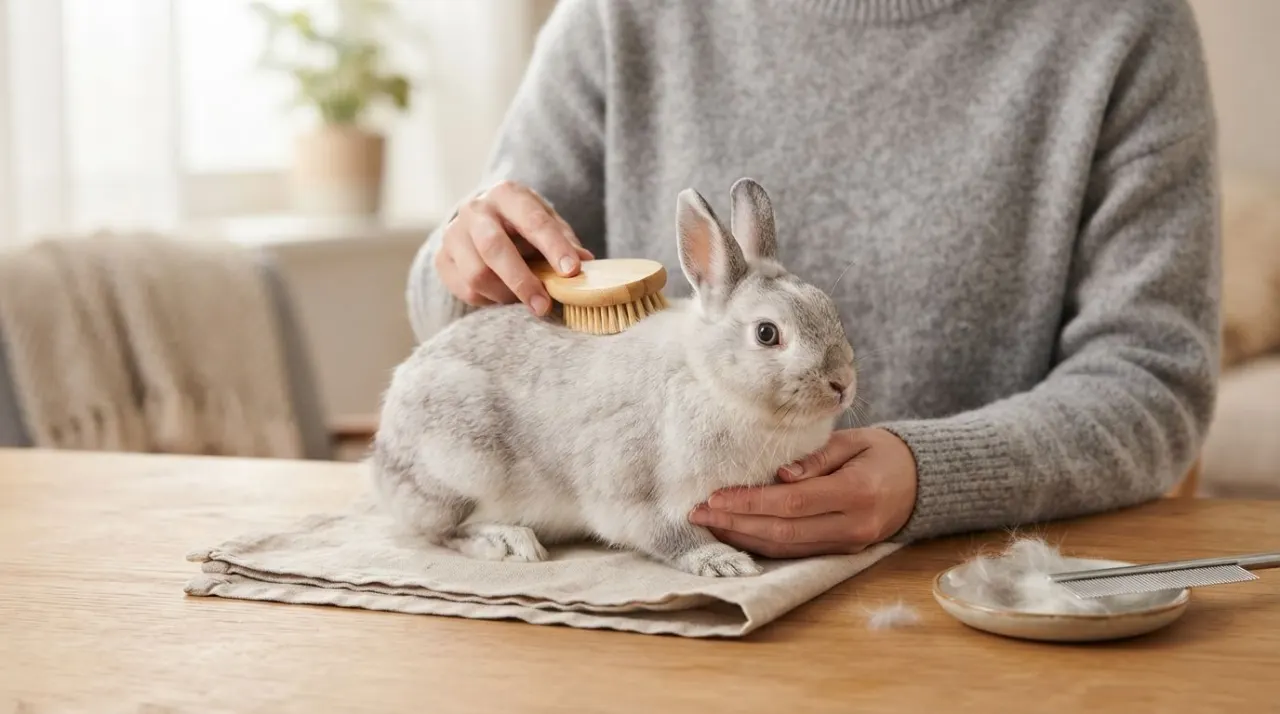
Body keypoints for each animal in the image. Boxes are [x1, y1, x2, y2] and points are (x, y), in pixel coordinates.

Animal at [370, 178, 858, 577]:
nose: (842, 384)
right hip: (460, 467)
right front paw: (724, 562)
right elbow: (668, 535)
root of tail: (382, 452)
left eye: (829, 310)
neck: (706, 378)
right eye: (766, 333)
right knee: (442, 530)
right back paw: (509, 542)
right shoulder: (632, 492)